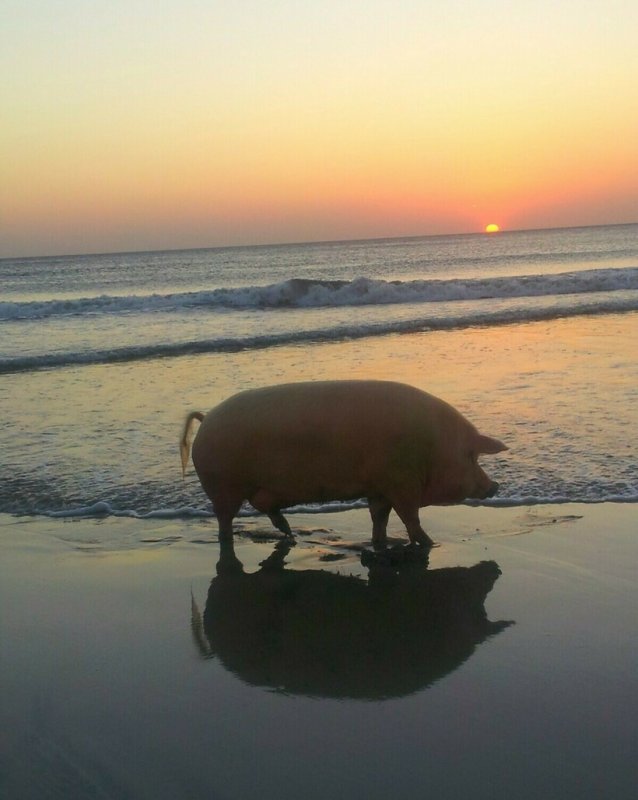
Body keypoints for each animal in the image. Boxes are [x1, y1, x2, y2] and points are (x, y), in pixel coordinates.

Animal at [180, 380, 507, 549]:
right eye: (471, 456)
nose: (495, 486)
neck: (432, 449)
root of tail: (205, 419)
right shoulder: (400, 483)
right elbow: (410, 517)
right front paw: (428, 543)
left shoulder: (379, 487)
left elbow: (379, 518)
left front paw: (380, 542)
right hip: (223, 486)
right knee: (225, 520)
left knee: (268, 512)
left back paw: (290, 534)